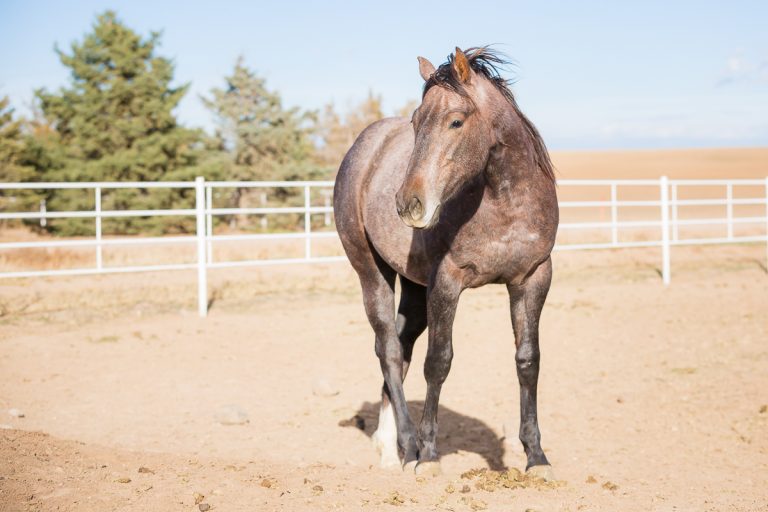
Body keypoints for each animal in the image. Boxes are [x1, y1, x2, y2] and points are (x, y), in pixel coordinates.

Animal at [333, 46, 558, 479]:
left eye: (456, 120)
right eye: (416, 121)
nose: (408, 203)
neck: (503, 202)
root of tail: (365, 143)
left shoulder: (533, 278)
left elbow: (529, 360)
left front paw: (536, 457)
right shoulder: (447, 283)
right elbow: (438, 362)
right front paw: (429, 456)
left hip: (413, 289)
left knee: (401, 348)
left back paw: (388, 447)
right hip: (371, 273)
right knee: (388, 350)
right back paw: (407, 447)